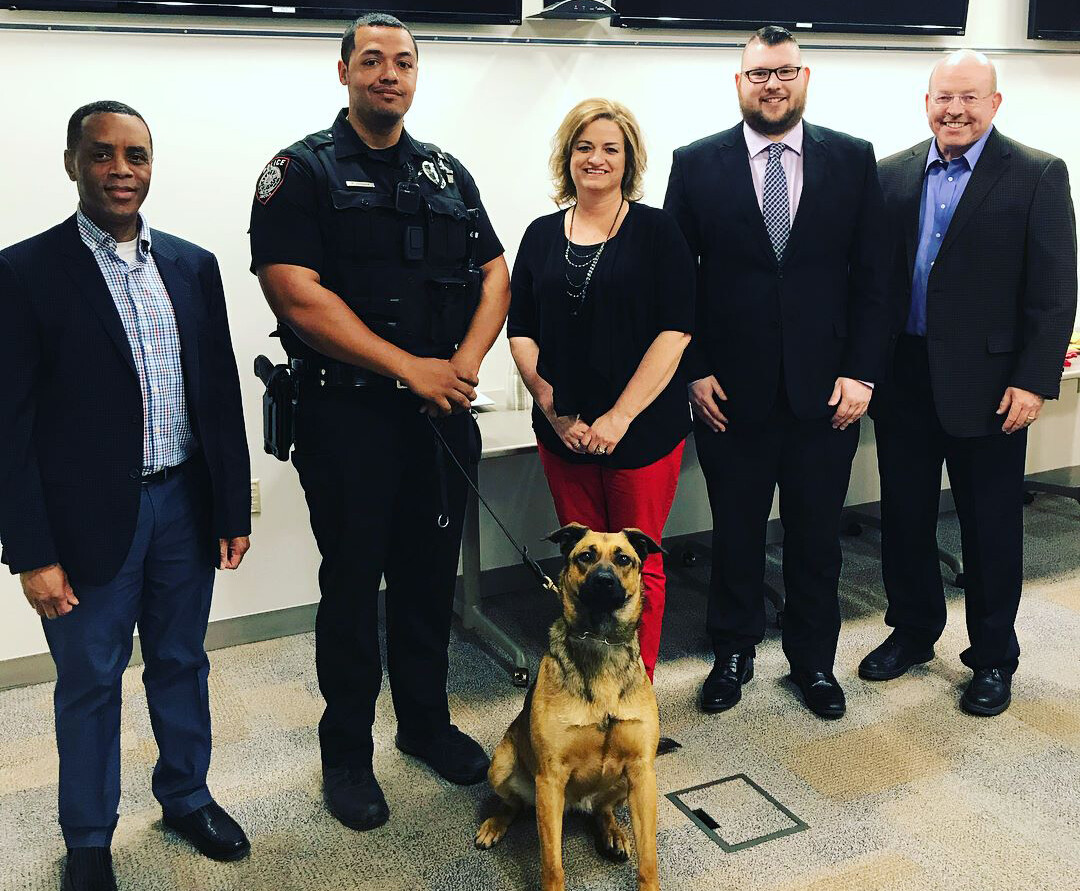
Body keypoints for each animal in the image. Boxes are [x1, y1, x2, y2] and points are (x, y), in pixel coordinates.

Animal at [477, 520, 660, 889]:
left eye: (623, 559)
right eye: (585, 556)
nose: (603, 581)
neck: (601, 641)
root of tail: (579, 804)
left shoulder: (642, 772)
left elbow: (649, 861)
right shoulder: (550, 780)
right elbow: (552, 863)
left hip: (624, 783)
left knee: (603, 810)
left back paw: (613, 833)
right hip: (502, 766)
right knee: (512, 804)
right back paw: (494, 824)